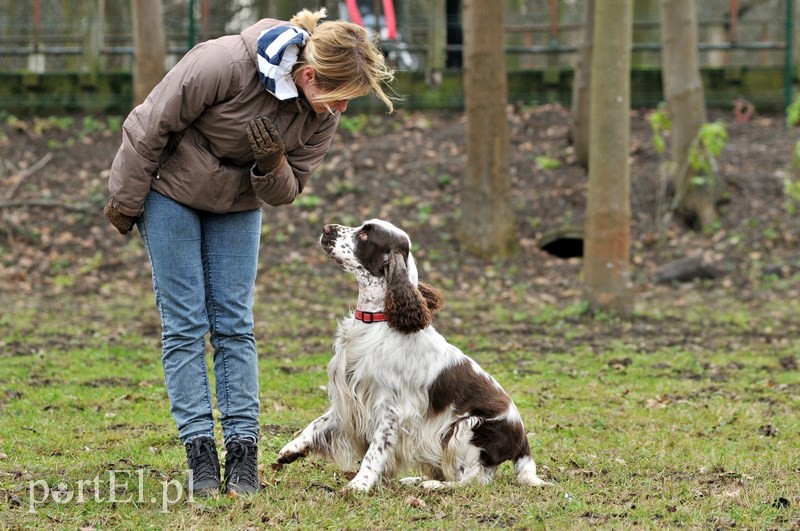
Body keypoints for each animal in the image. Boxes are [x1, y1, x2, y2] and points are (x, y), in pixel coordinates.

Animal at [276, 218, 552, 492]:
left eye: (365, 234)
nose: (326, 228)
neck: (378, 319)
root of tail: (523, 442)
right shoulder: (350, 398)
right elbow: (318, 422)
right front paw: (292, 449)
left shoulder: (390, 410)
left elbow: (374, 452)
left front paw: (359, 485)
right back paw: (415, 479)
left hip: (467, 428)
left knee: (471, 481)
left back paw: (431, 485)